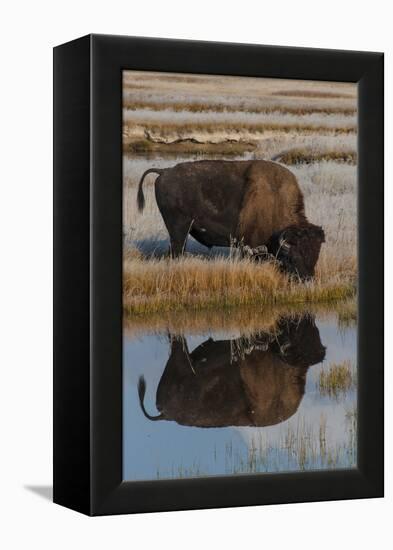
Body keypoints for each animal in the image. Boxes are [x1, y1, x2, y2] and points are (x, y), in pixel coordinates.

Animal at [136, 161, 324, 280]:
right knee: (176, 250)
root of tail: (164, 171)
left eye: (316, 255)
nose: (308, 279)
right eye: (294, 256)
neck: (275, 199)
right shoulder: (251, 247)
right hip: (178, 229)